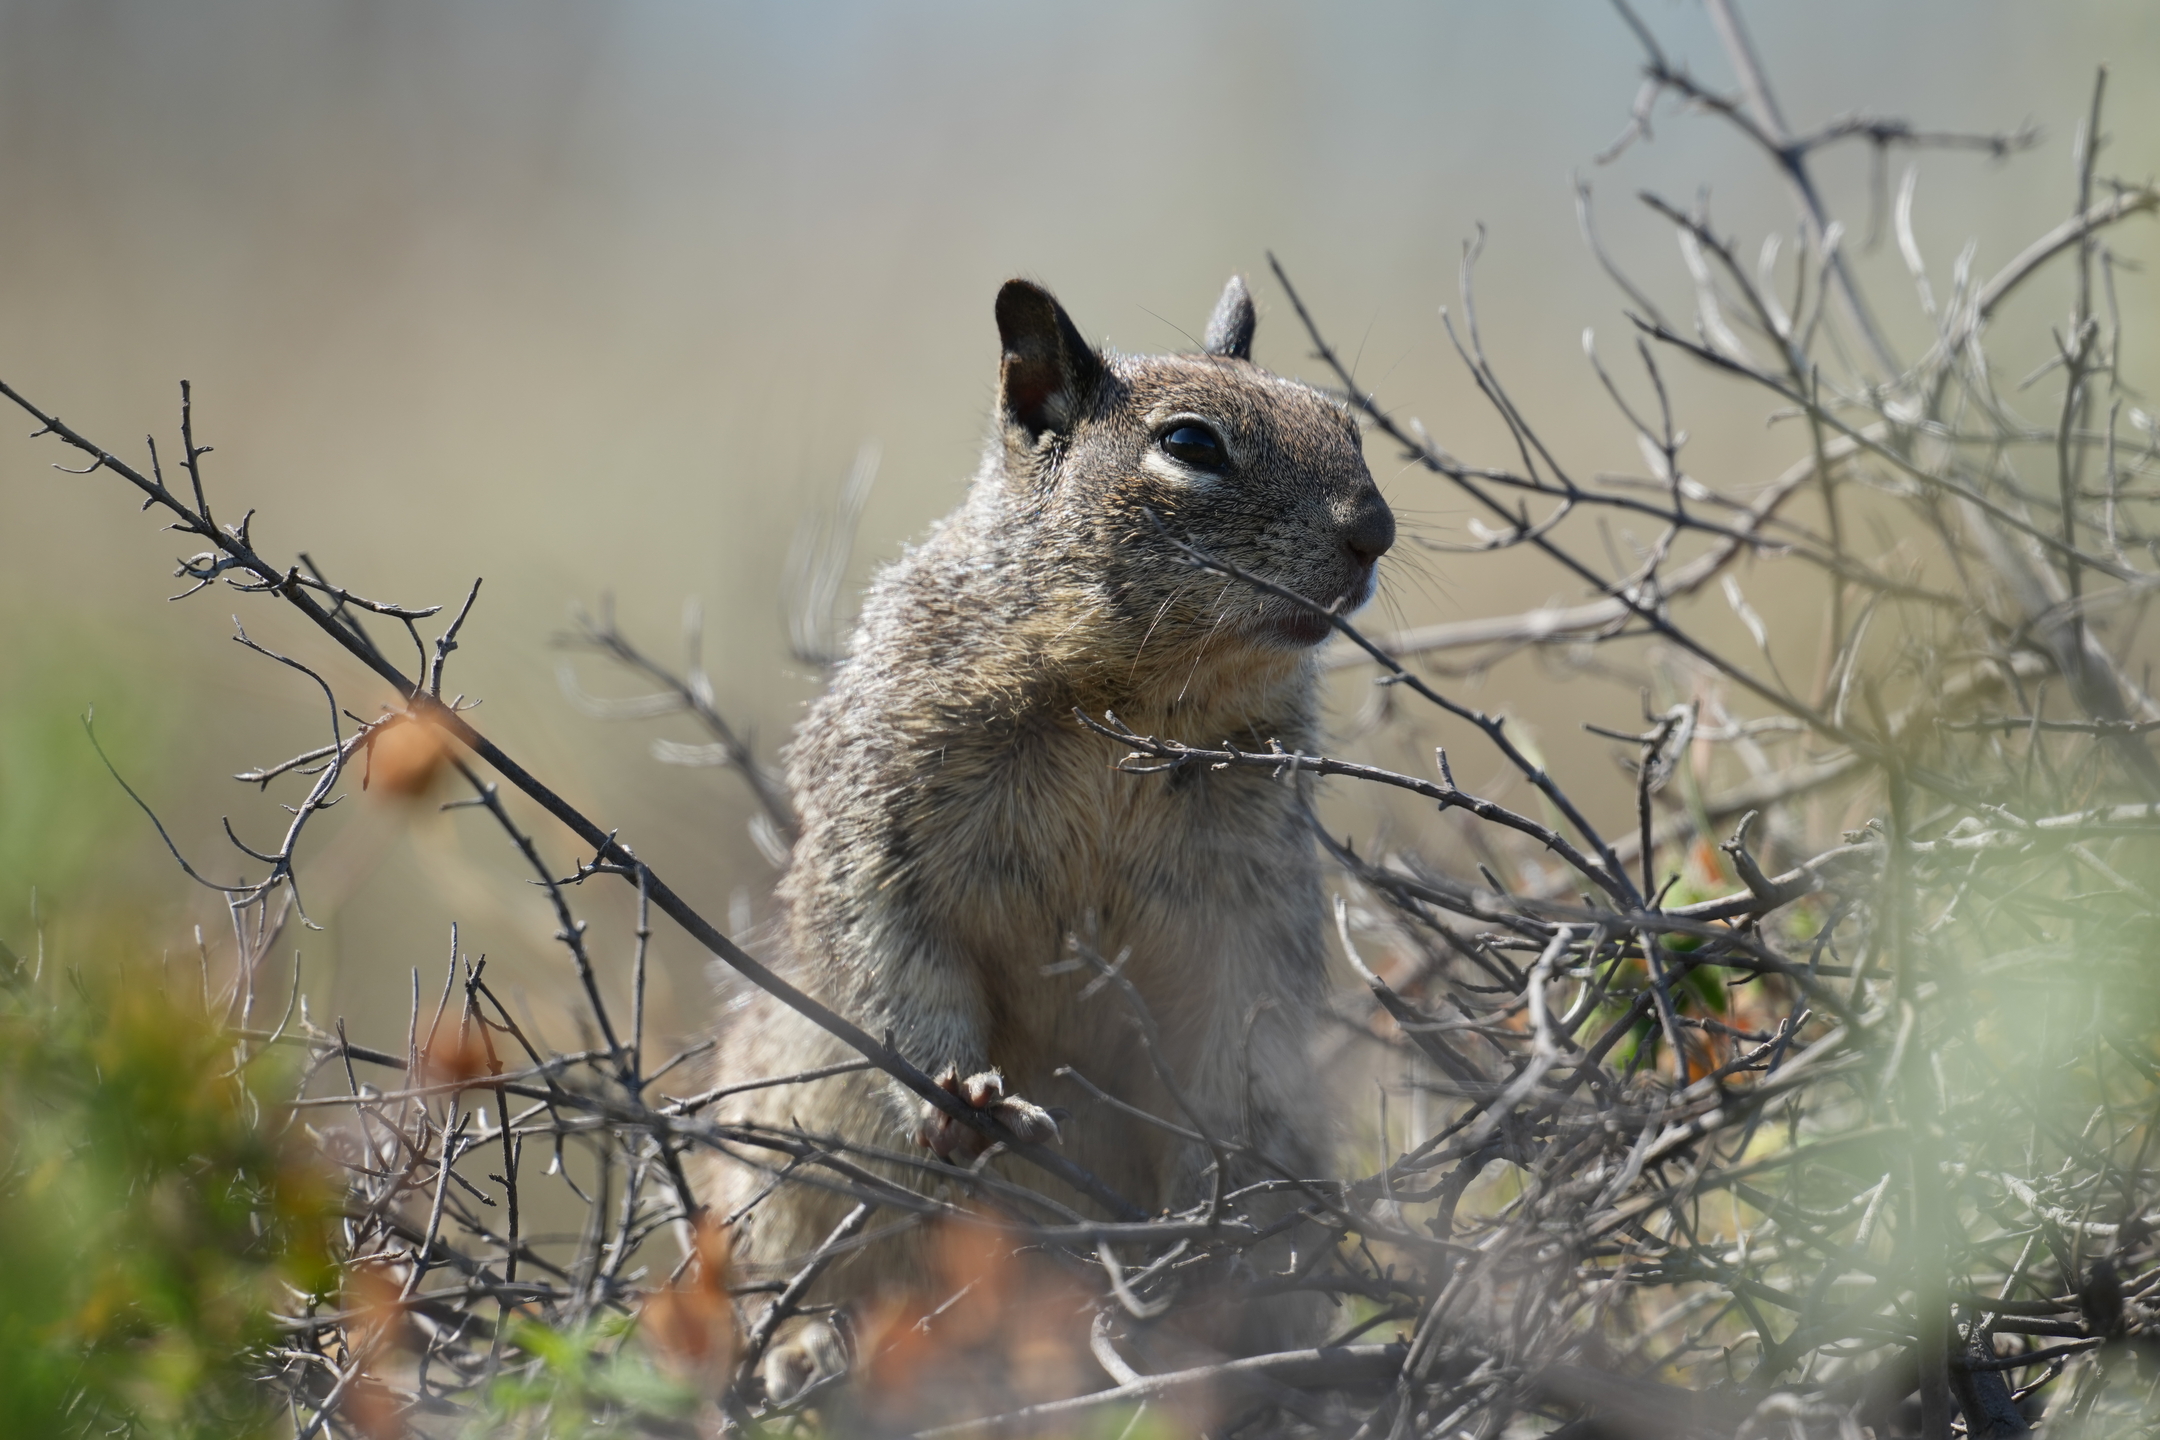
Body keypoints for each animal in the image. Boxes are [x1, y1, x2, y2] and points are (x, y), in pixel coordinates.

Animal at [700, 275, 1394, 1398]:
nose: (1375, 530)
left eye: (1346, 424)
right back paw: (802, 1348)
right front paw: (958, 1097)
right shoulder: (882, 828)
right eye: (1190, 443)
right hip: (781, 1156)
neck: (1132, 696)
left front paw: (1219, 1191)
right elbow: (891, 956)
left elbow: (1240, 1022)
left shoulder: (1251, 884)